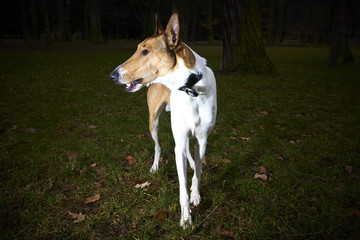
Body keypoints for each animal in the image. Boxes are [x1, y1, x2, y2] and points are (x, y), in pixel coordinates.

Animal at [109, 12, 217, 228]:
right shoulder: (180, 139)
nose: (113, 75)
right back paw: (155, 167)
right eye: (137, 49)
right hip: (153, 122)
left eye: (145, 51)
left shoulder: (202, 139)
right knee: (158, 146)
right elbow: (182, 187)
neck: (191, 88)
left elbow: (198, 171)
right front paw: (185, 219)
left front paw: (196, 194)